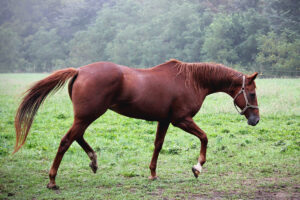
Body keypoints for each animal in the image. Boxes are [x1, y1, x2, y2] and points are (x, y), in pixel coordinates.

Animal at [14, 59, 258, 189]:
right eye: (253, 93)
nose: (255, 119)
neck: (191, 80)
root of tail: (80, 70)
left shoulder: (164, 120)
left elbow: (158, 146)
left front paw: (152, 173)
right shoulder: (181, 120)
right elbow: (205, 137)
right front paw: (197, 167)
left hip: (85, 116)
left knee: (77, 137)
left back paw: (93, 161)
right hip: (88, 115)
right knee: (66, 141)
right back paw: (52, 180)